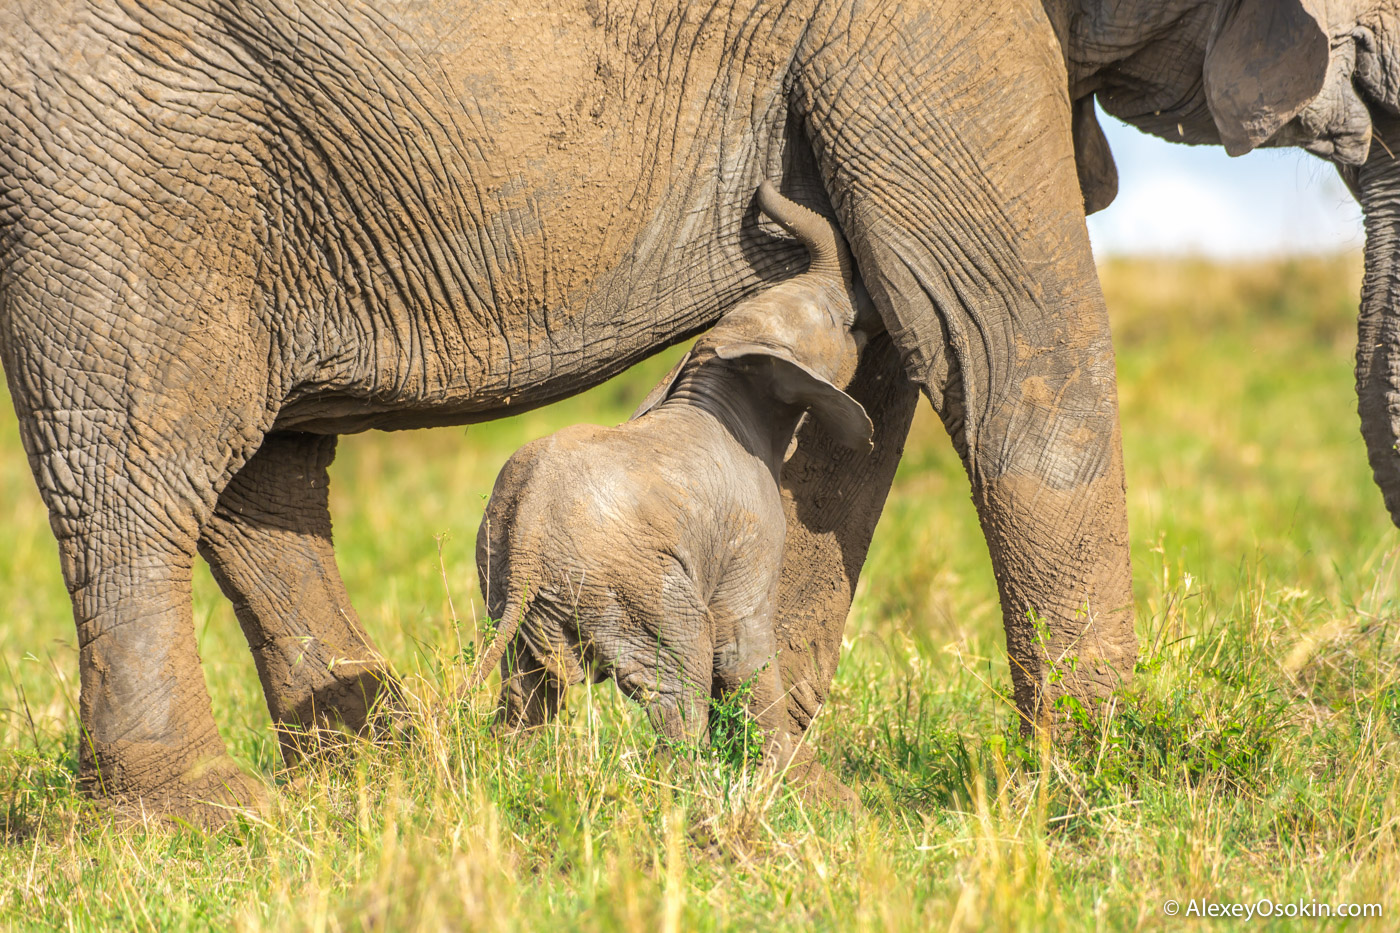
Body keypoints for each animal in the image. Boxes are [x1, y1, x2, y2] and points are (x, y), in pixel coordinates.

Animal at [470, 182, 873, 801]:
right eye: (834, 317)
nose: (759, 193)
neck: (724, 362)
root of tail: (530, 533)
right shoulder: (754, 524)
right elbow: (740, 644)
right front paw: (800, 795)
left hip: (508, 576)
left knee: (530, 688)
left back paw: (510, 776)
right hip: (634, 584)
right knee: (681, 678)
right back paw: (688, 796)